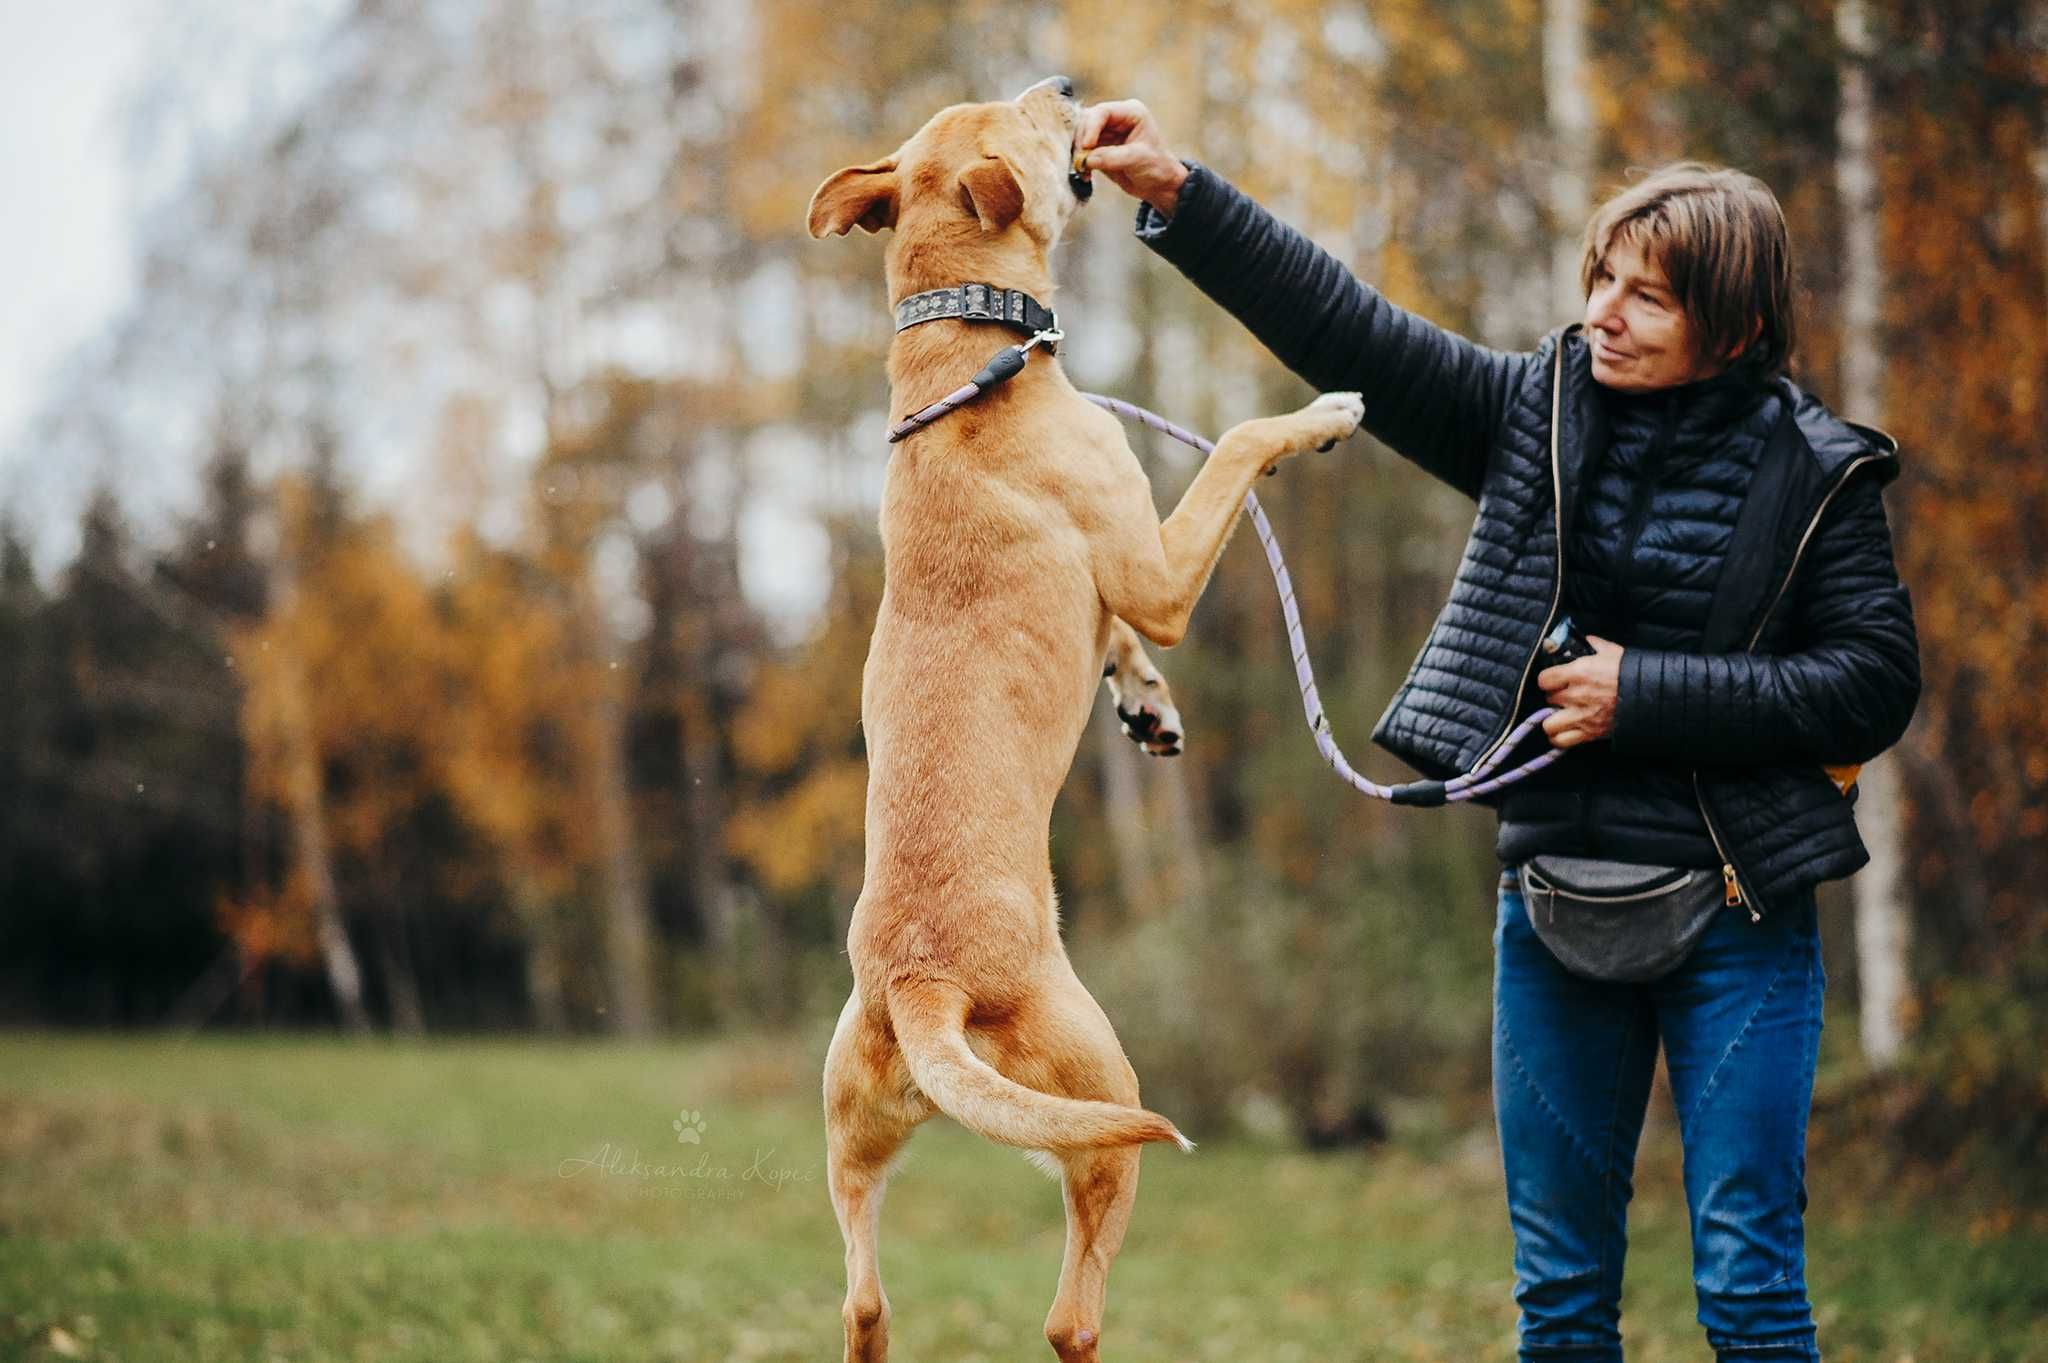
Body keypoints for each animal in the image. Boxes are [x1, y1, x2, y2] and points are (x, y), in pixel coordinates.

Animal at [806, 76, 1368, 1358]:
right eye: (1008, 111)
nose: (1066, 85)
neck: (969, 358)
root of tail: (918, 985)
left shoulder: (1124, 581)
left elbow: (1114, 637)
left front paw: (1145, 707)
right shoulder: (1153, 562)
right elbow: (1237, 450)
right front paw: (1321, 411)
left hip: (852, 1135)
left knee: (862, 1299)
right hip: (1102, 1101)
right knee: (1069, 1314)